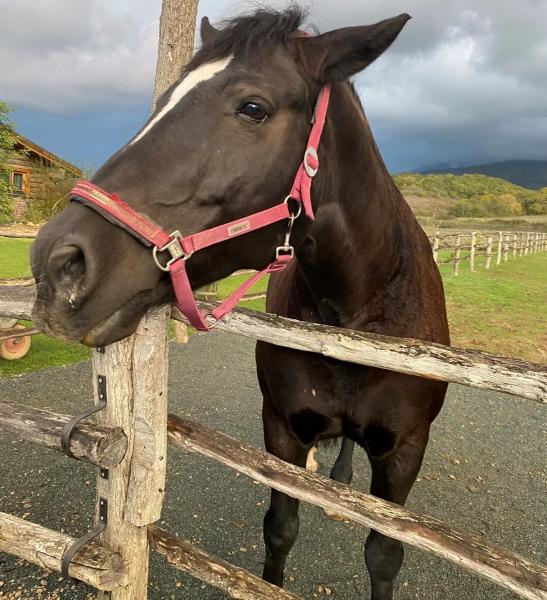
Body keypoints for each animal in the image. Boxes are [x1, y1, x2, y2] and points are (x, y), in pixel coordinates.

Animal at [30, 7, 450, 596]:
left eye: (253, 107)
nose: (56, 263)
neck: (359, 312)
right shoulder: (281, 429)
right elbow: (280, 529)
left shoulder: (406, 448)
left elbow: (384, 554)